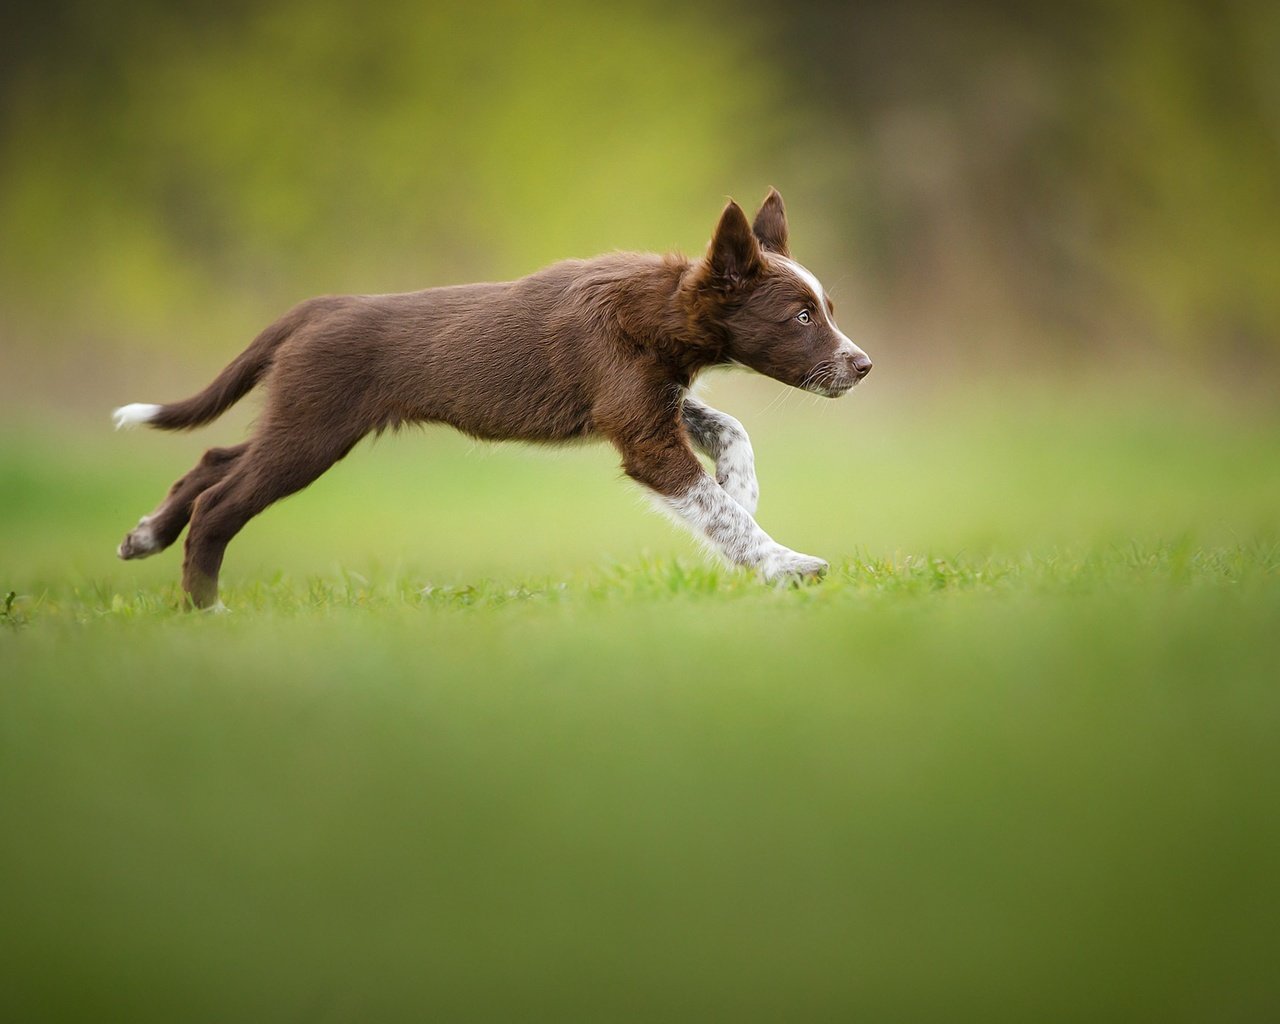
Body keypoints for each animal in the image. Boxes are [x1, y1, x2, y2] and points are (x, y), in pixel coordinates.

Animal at [115, 189, 870, 609]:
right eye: (802, 317)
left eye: (828, 310)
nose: (863, 366)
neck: (658, 307)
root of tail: (318, 307)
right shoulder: (642, 432)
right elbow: (718, 513)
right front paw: (785, 564)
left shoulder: (650, 401)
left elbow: (729, 428)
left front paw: (743, 485)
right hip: (312, 430)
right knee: (222, 500)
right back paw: (205, 610)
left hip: (297, 415)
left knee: (215, 458)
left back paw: (146, 535)